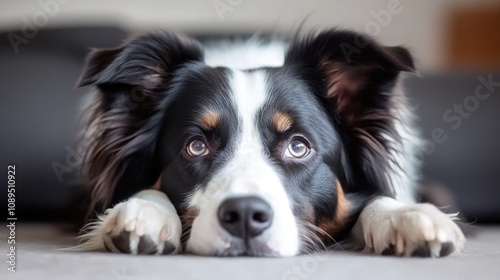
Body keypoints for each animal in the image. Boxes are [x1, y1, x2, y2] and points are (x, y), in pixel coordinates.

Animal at [74, 29, 464, 258]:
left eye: (298, 146)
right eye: (196, 146)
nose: (245, 216)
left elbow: (376, 197)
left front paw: (405, 217)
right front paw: (144, 212)